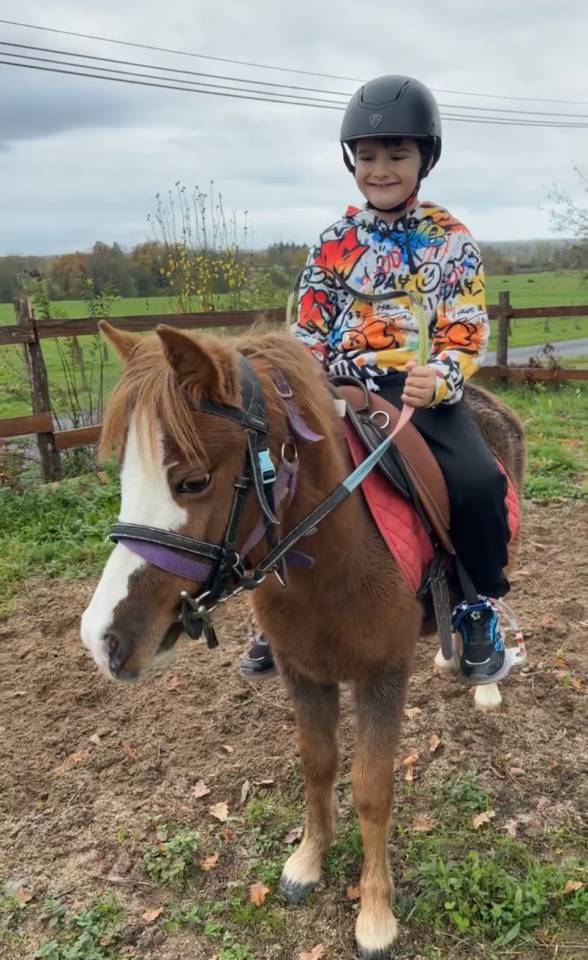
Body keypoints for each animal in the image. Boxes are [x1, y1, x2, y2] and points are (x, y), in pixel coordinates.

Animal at [81, 322, 525, 958]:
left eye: (193, 480)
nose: (103, 639)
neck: (335, 556)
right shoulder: (303, 669)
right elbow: (316, 765)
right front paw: (308, 862)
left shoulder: (381, 675)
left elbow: (371, 789)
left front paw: (375, 913)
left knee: (489, 593)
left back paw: (484, 669)